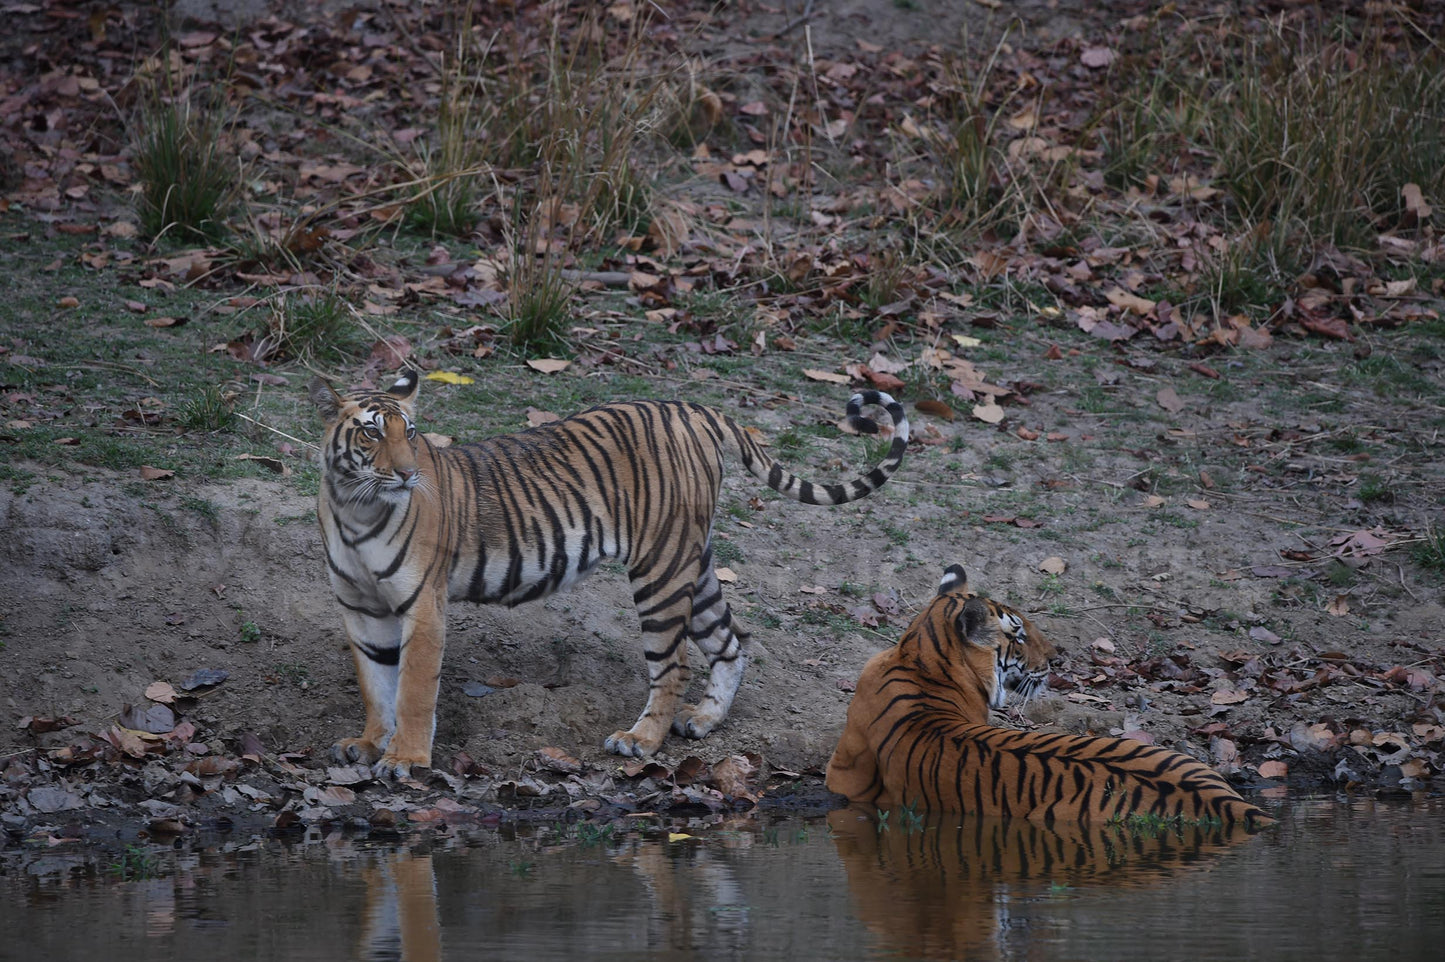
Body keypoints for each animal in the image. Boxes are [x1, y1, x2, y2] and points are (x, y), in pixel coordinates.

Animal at [312, 368, 907, 780]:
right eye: (371, 434)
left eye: (410, 432)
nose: (408, 474)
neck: (355, 507)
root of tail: (695, 408)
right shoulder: (360, 608)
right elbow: (376, 685)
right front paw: (368, 745)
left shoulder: (424, 606)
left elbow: (412, 689)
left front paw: (405, 760)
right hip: (696, 564)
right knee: (732, 642)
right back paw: (703, 720)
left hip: (661, 569)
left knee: (674, 664)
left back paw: (641, 740)